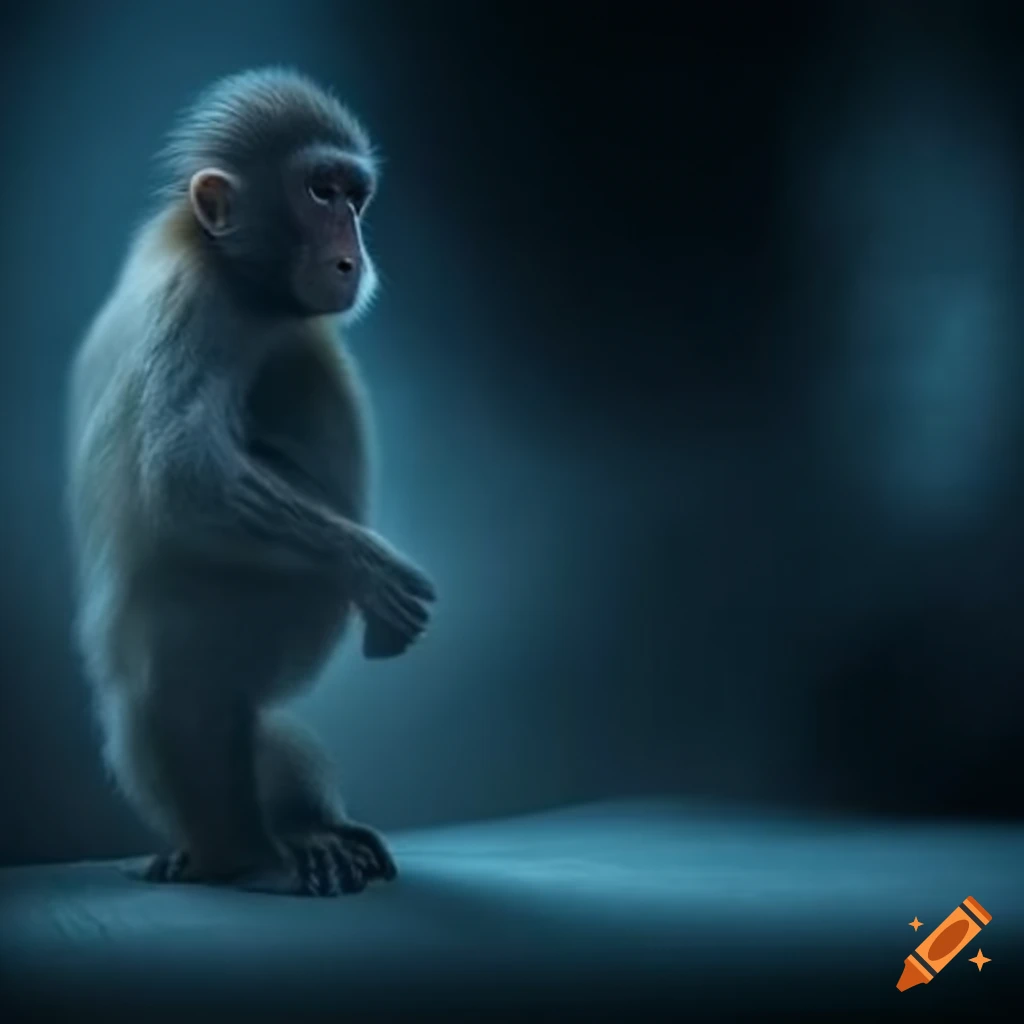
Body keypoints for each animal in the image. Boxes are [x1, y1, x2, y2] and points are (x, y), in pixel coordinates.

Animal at [64, 68, 436, 897]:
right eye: (320, 193)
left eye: (353, 196)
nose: (352, 256)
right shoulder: (200, 305)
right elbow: (181, 476)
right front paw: (367, 568)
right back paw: (246, 856)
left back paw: (304, 829)